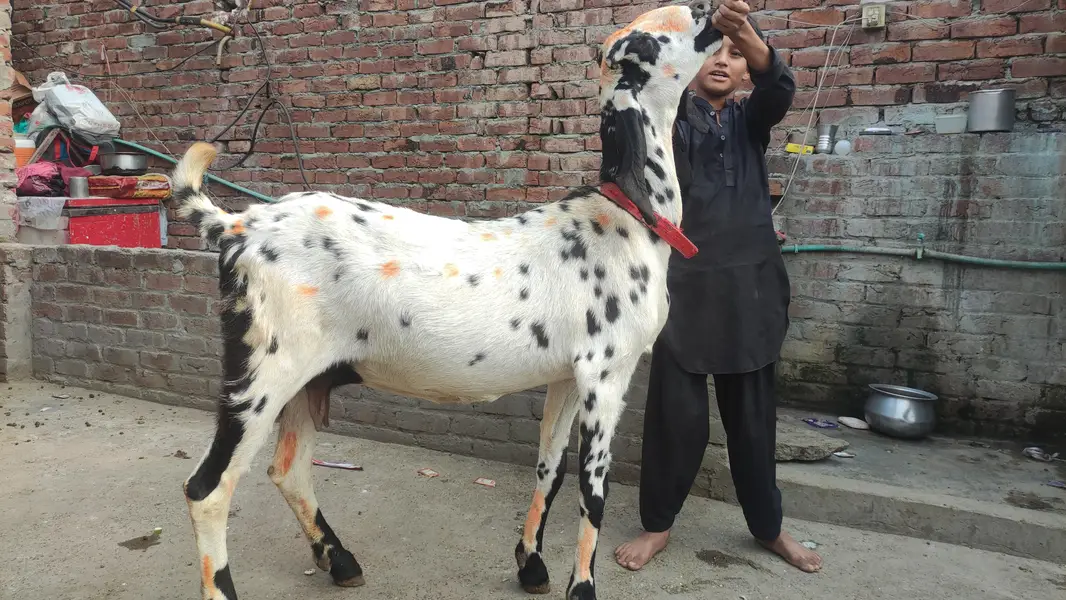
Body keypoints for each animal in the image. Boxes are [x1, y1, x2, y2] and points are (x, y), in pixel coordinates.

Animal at [175, 3, 722, 599]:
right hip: (264, 369)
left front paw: (531, 566)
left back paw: (340, 561)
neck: (629, 219)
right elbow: (592, 492)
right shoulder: (607, 371)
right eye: (645, 44)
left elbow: (550, 469)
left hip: (306, 376)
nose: (708, 13)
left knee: (287, 469)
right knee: (208, 489)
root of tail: (237, 226)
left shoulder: (565, 375)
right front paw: (581, 589)